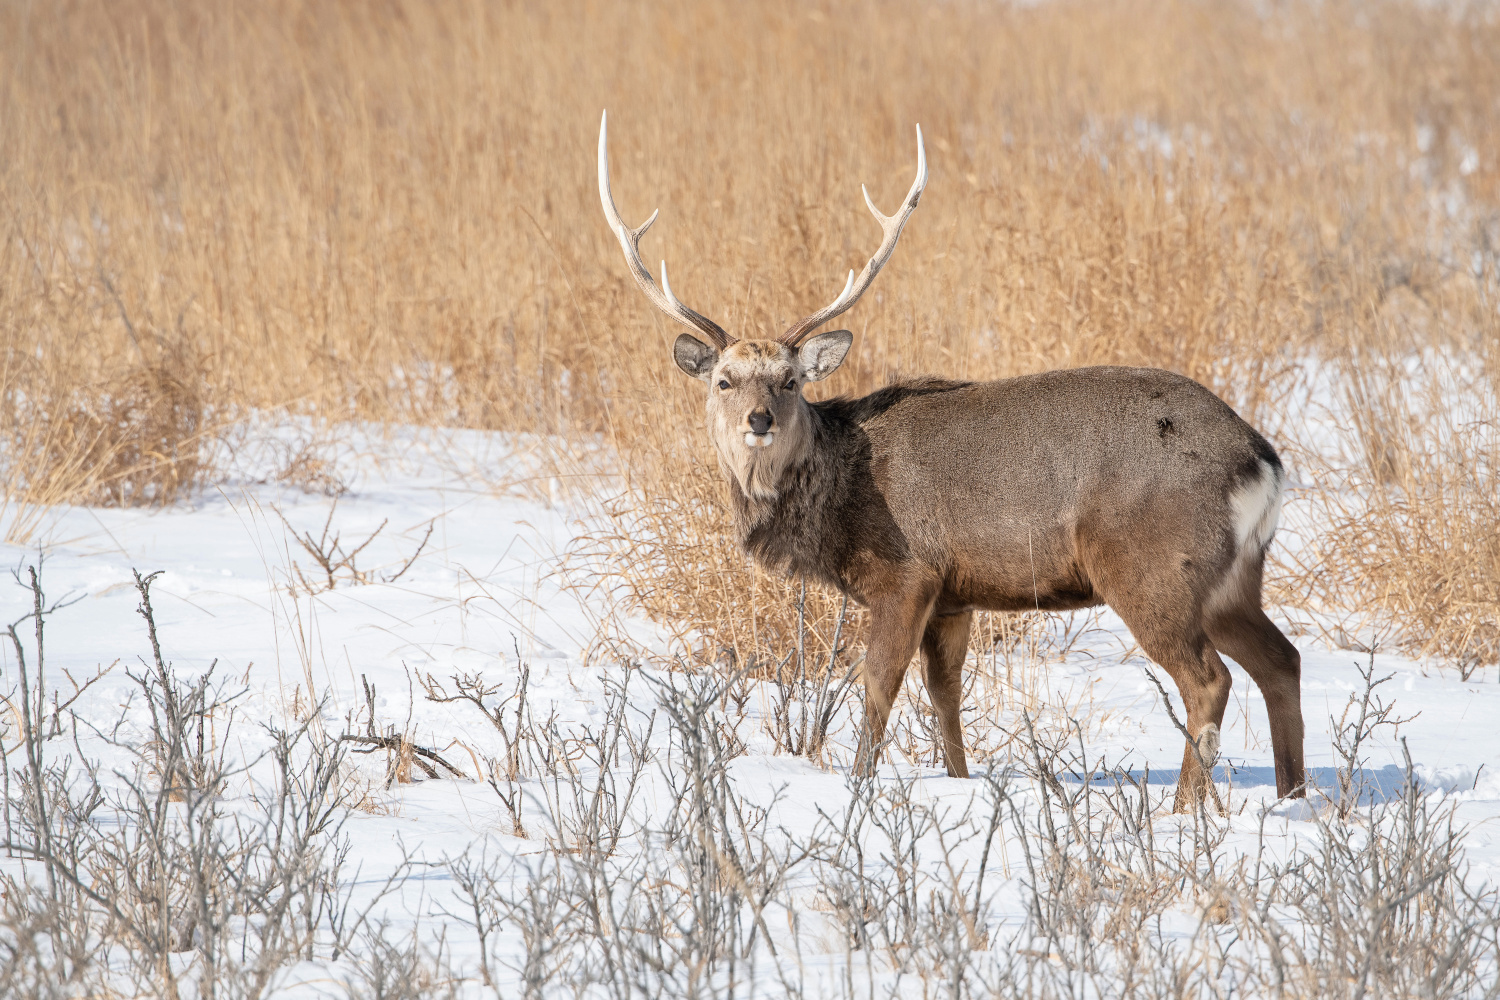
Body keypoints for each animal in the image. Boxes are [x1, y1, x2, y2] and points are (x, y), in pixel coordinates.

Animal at [594, 111, 1302, 815]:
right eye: (725, 380)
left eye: (789, 380)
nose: (759, 420)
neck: (837, 492)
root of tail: (1260, 461)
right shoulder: (956, 595)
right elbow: (945, 695)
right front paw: (961, 784)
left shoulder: (907, 571)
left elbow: (878, 686)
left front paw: (858, 789)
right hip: (1232, 575)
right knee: (1282, 661)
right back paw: (1292, 797)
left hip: (1150, 562)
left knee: (1208, 678)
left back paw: (1184, 811)